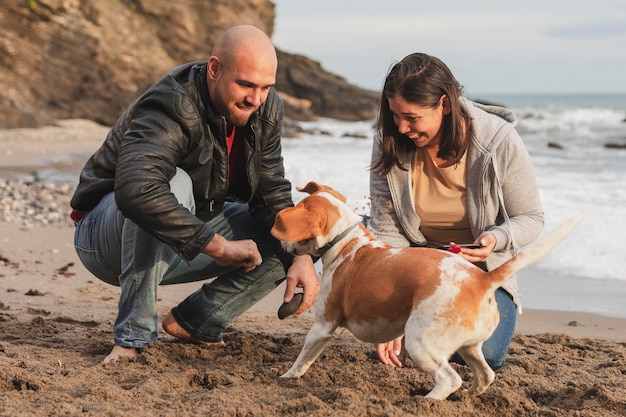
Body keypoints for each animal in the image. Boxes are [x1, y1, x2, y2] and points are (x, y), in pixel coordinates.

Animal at [270, 181, 584, 400]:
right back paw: (467, 398)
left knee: (449, 379)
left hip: (420, 343)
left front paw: (287, 376)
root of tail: (482, 280)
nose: (282, 246)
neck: (347, 243)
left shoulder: (323, 327)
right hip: (469, 347)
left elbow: (303, 359)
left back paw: (427, 401)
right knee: (485, 376)